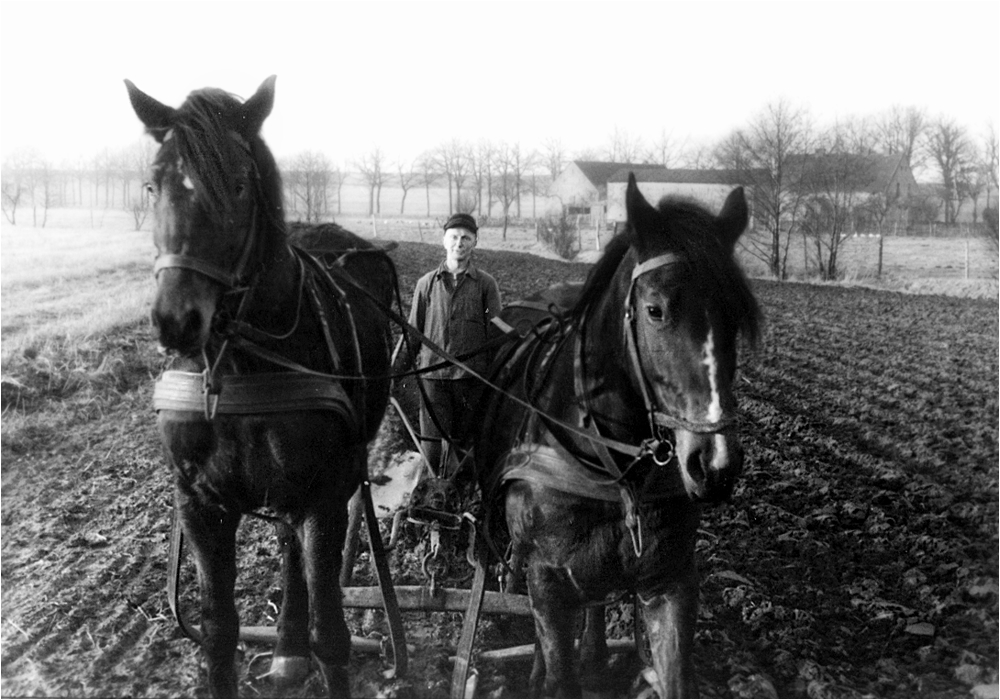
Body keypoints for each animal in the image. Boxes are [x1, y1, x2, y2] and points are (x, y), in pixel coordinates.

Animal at [125, 75, 390, 696]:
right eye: (153, 184)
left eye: (241, 186)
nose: (176, 321)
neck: (240, 367)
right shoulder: (199, 502)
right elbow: (218, 632)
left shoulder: (324, 496)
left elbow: (332, 635)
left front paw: (313, 647)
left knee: (295, 554)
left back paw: (290, 647)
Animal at [474, 175, 756, 696]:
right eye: (655, 310)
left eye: (736, 315)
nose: (715, 465)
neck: (612, 468)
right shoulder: (549, 582)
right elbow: (558, 666)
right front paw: (549, 672)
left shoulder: (671, 580)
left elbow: (675, 675)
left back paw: (595, 653)